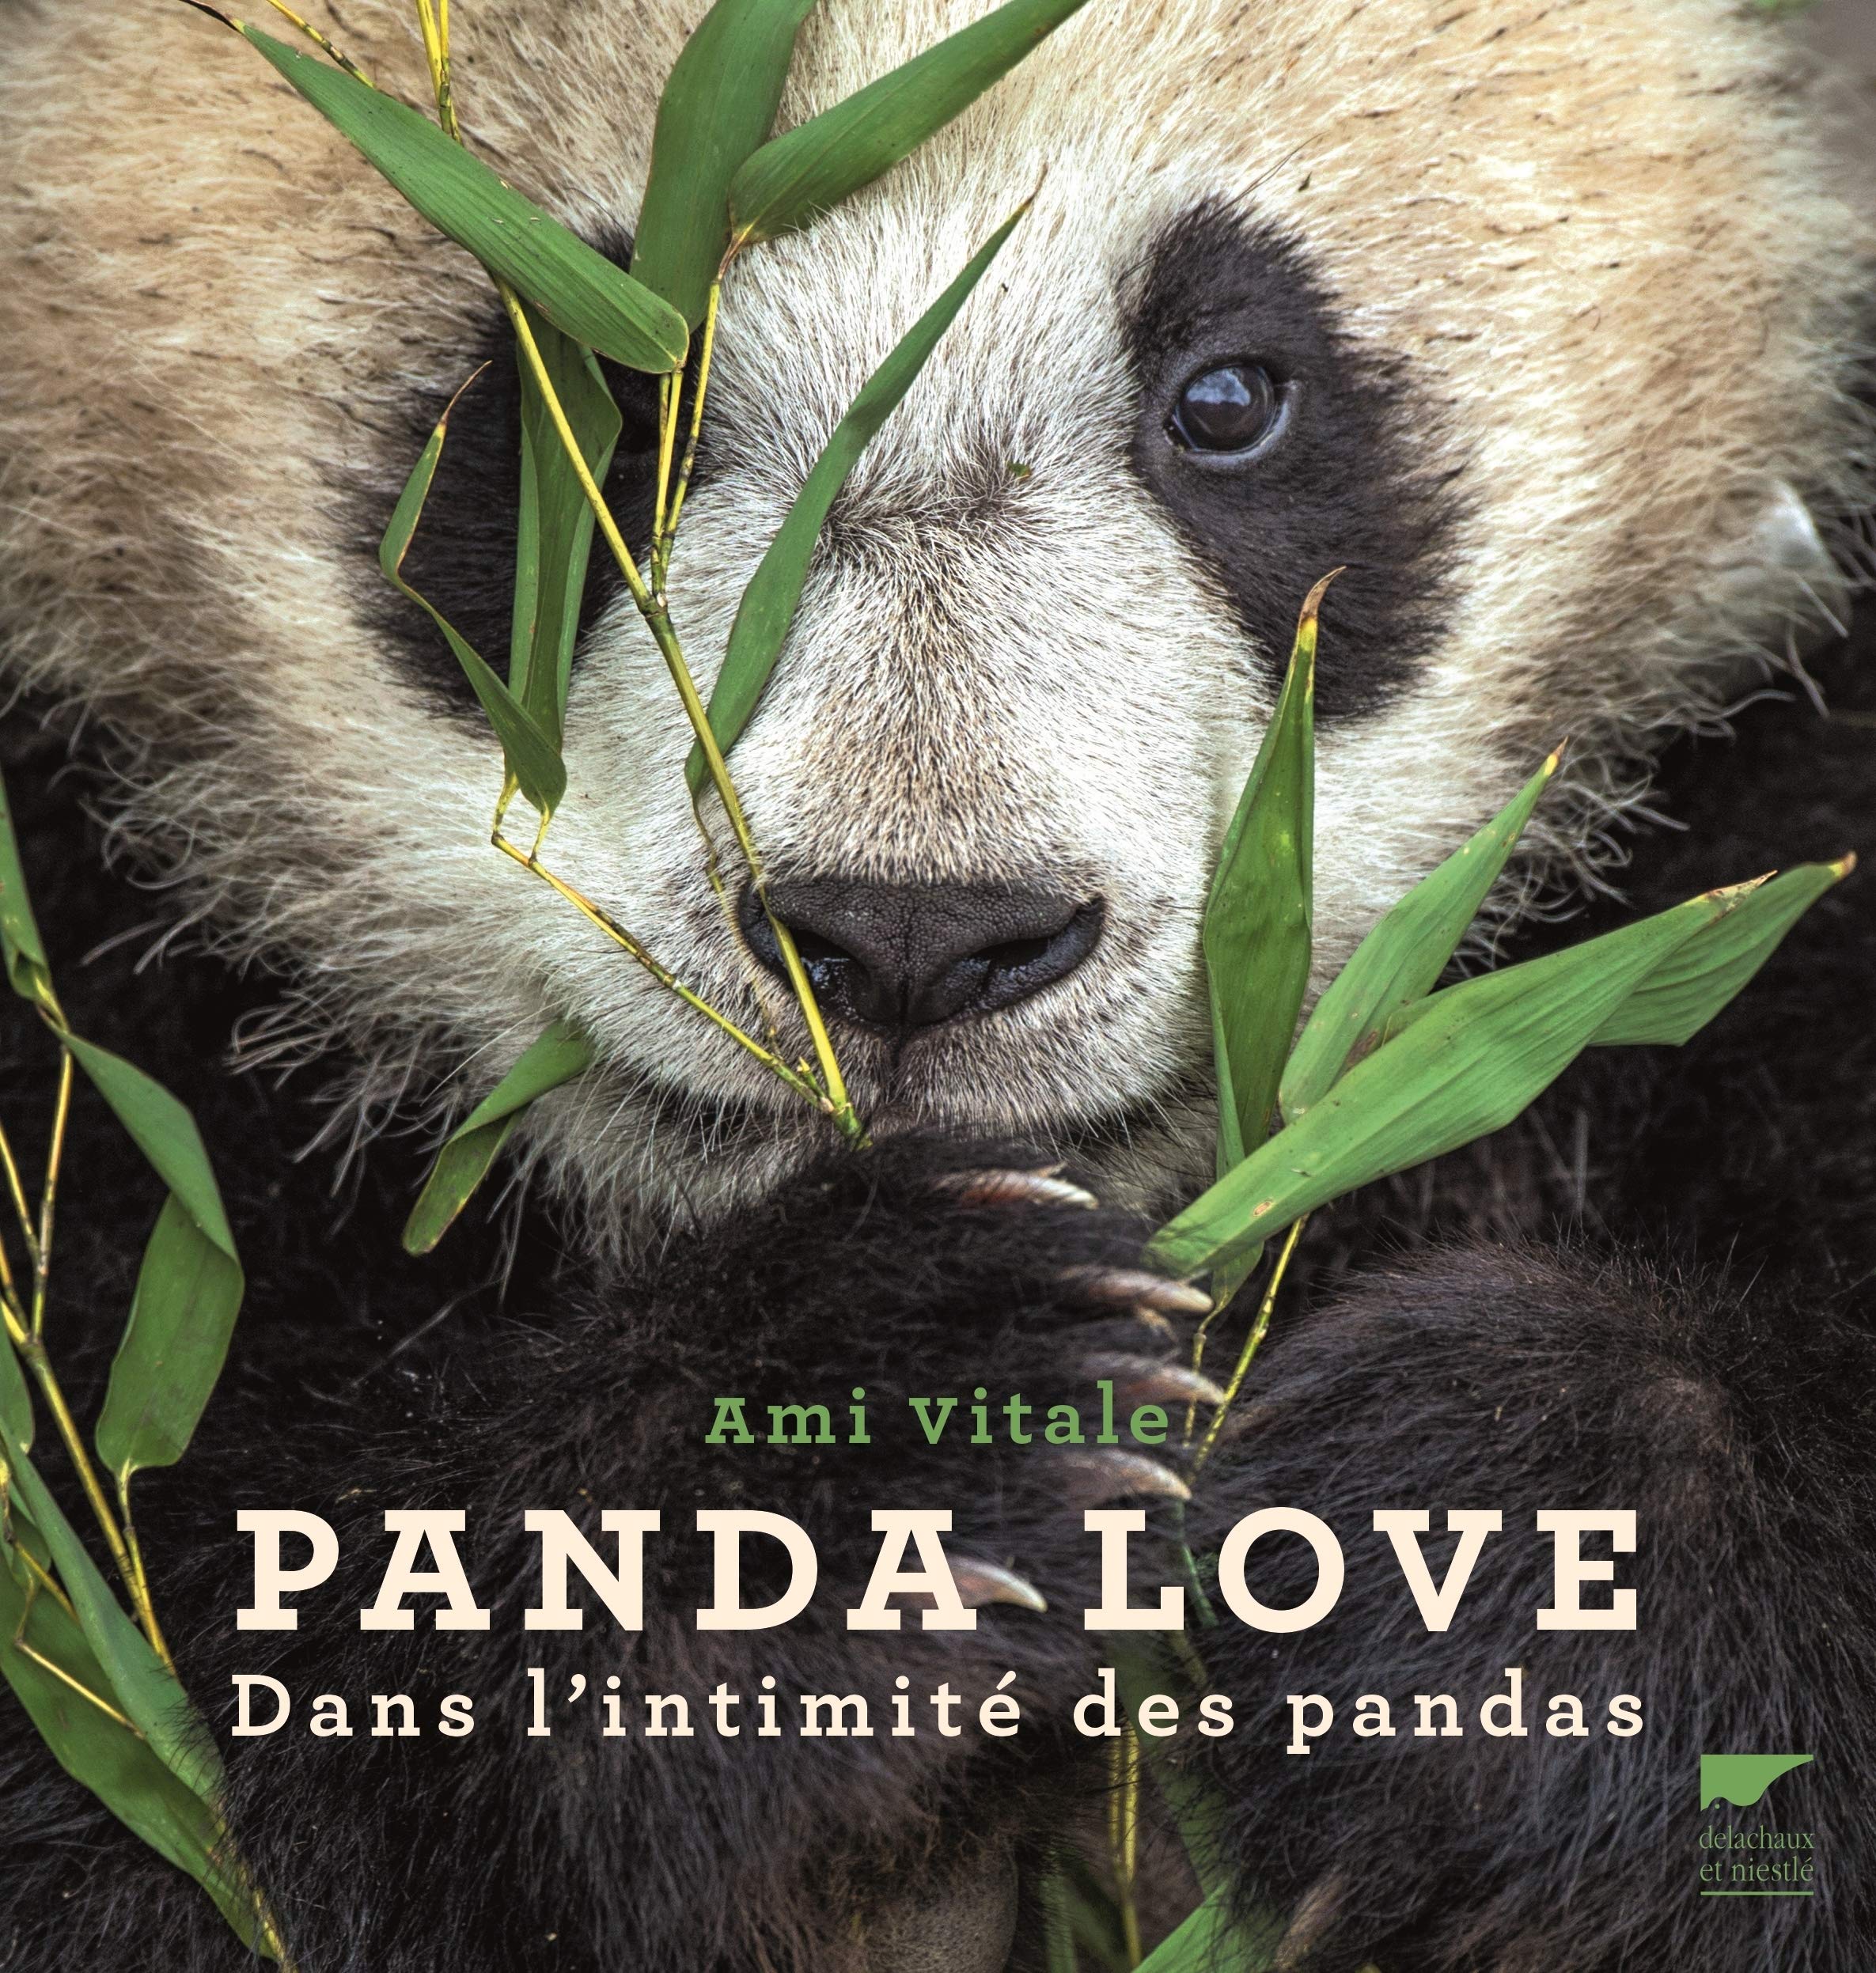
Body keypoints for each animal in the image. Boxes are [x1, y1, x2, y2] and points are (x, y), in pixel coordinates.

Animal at [0, 0, 1871, 1967]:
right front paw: (891, 1430)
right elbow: (148, 1737)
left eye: (1229, 397)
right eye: (613, 407)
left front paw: (1478, 1518)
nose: (910, 938)